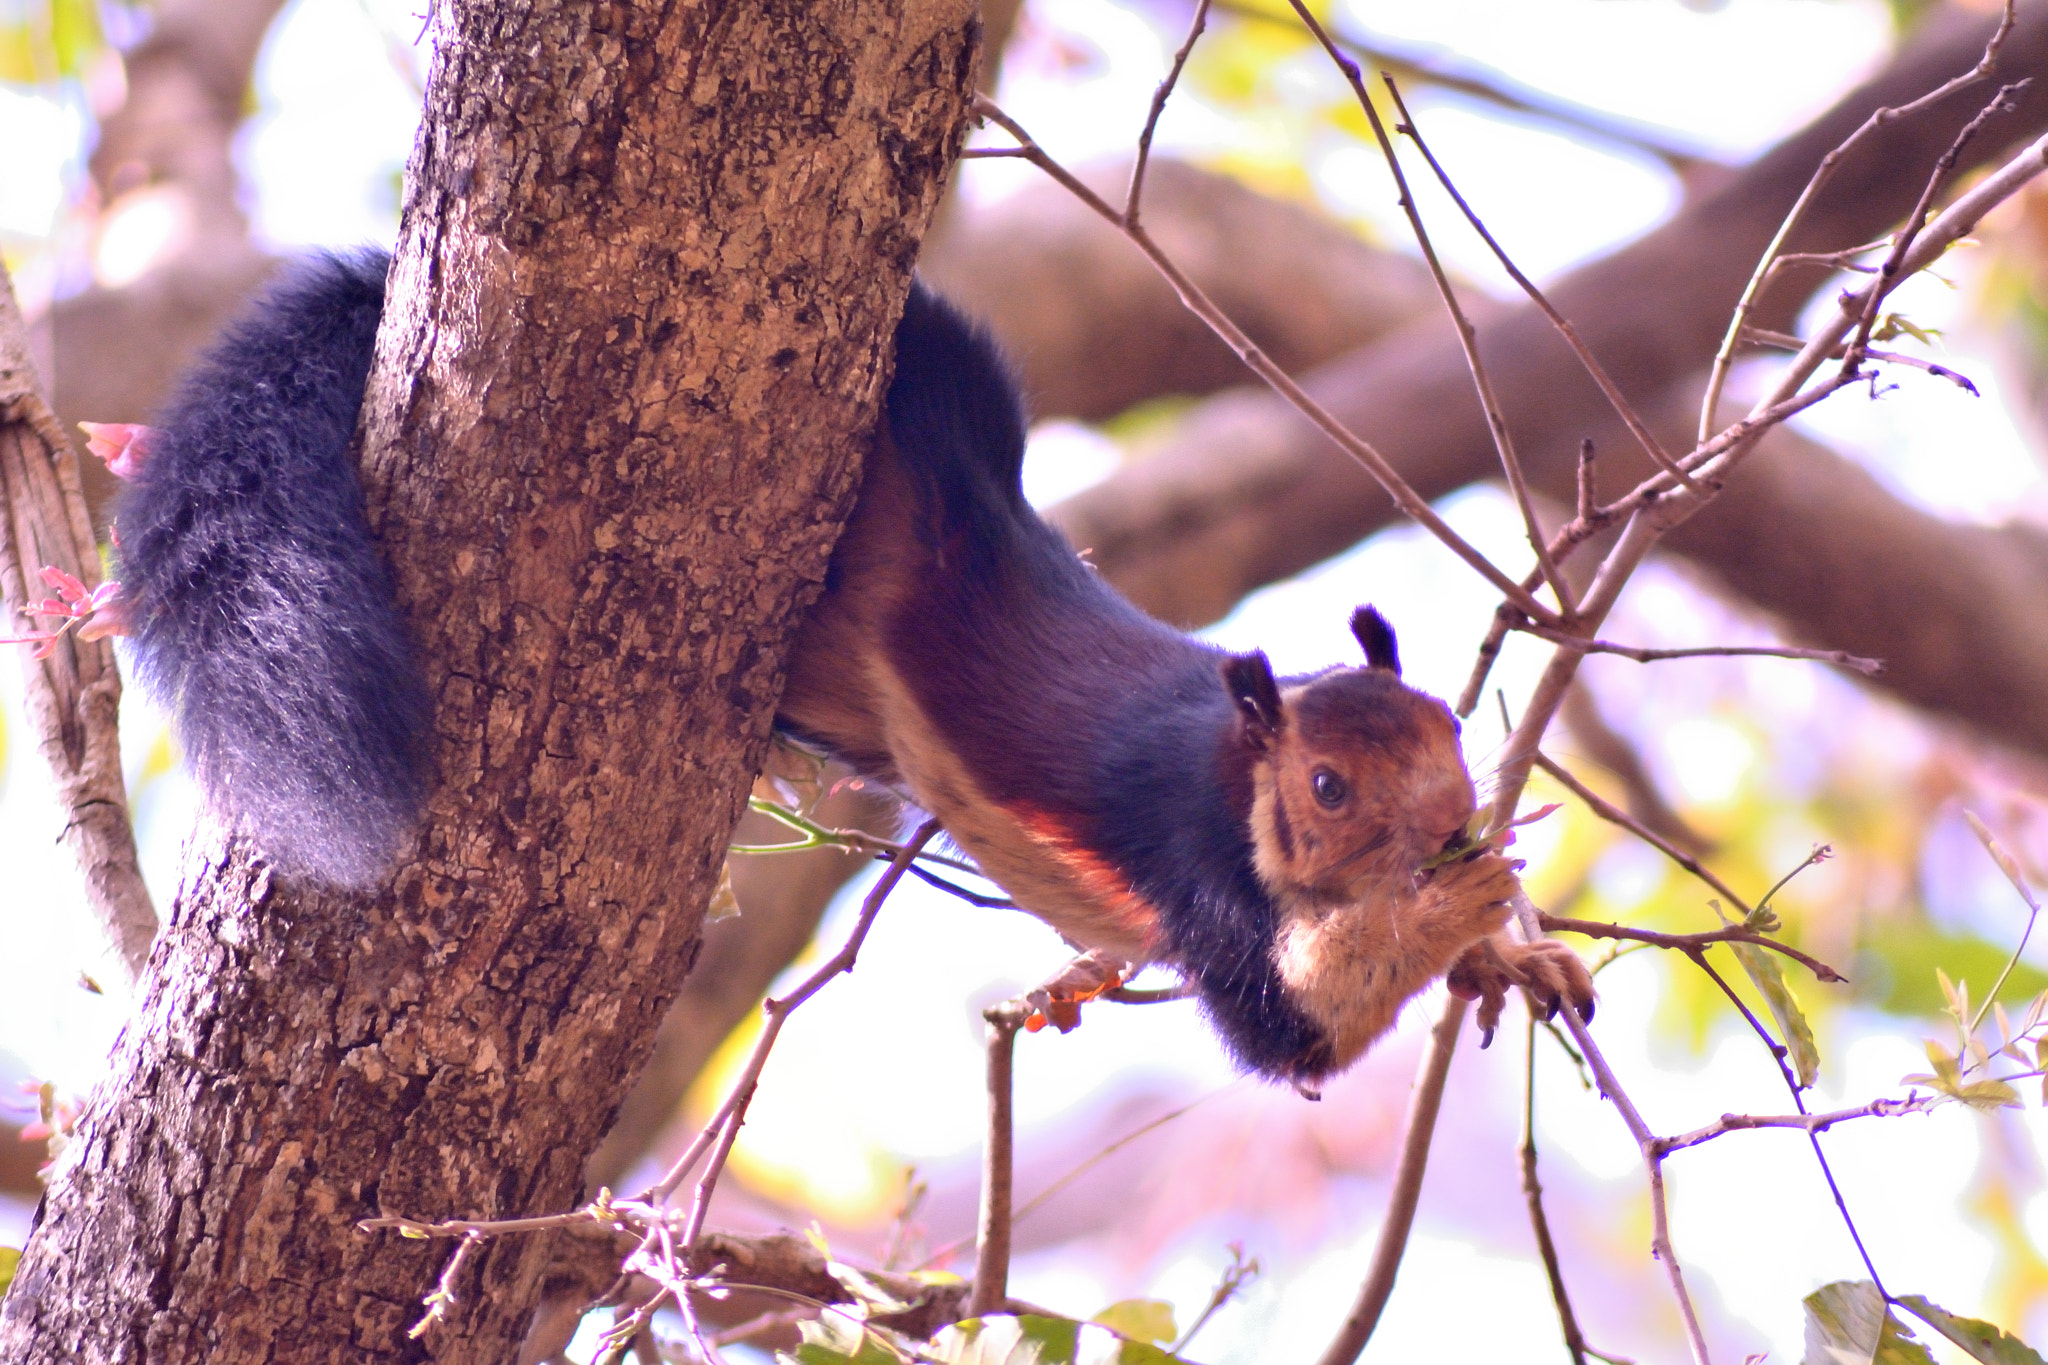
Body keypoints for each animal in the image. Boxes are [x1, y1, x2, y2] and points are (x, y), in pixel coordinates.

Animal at [49, 248, 1592, 1084]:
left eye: (1451, 733)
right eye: (1326, 786)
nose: (1451, 827)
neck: (1232, 758)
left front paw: (1518, 948)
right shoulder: (1194, 859)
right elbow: (1293, 1030)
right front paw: (1460, 912)